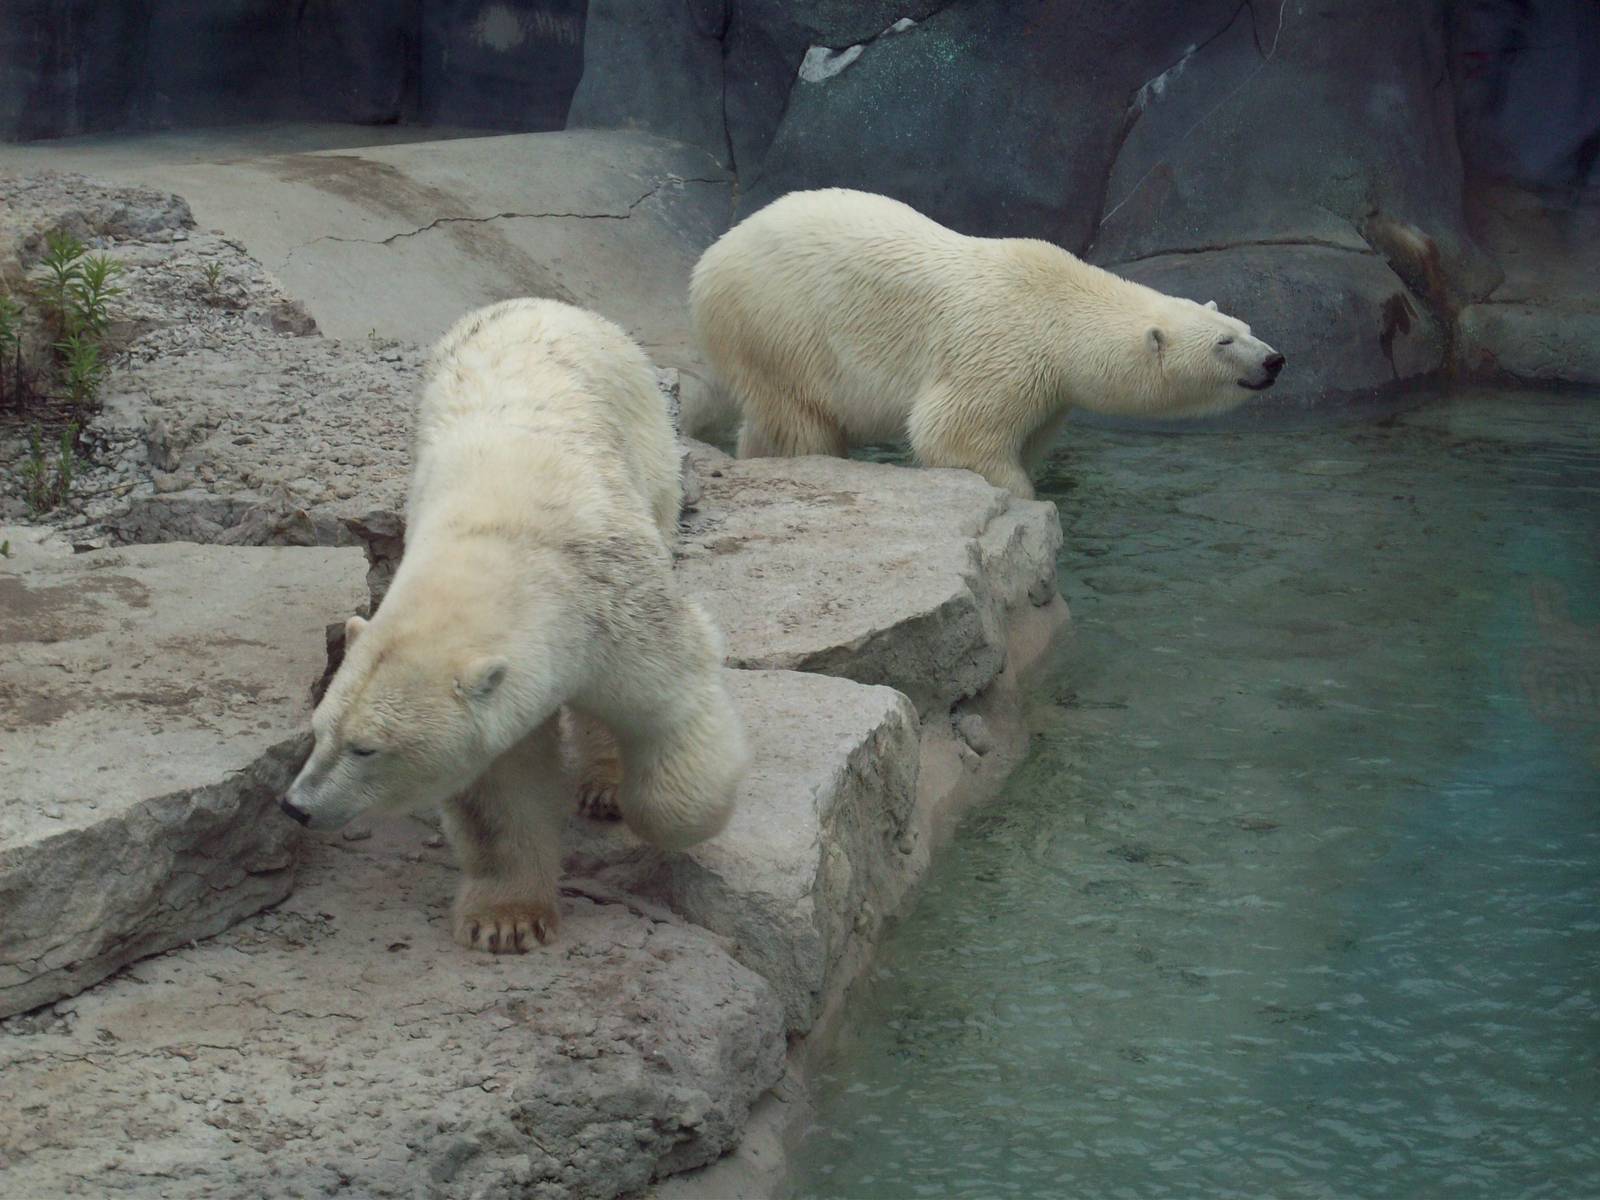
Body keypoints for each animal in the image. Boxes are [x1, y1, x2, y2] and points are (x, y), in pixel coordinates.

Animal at [281, 298, 749, 954]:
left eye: (366, 747)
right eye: (319, 729)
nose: (295, 807)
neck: (501, 545)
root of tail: (538, 303)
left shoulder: (619, 603)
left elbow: (670, 704)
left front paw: (652, 813)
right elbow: (499, 795)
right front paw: (507, 919)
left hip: (649, 444)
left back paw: (605, 786)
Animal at [689, 188, 1285, 499]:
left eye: (1246, 326)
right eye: (1224, 342)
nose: (1274, 360)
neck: (1060, 305)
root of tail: (711, 256)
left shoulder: (1049, 393)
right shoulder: (1004, 349)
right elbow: (952, 431)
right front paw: (1023, 497)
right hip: (776, 325)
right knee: (801, 419)